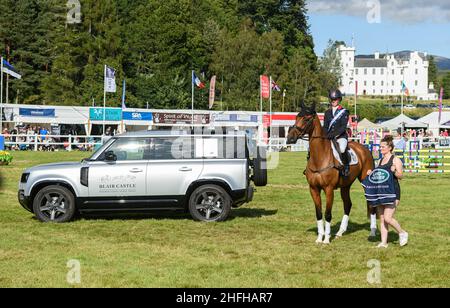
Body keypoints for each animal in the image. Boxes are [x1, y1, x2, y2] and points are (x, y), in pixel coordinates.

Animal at [286, 102, 378, 244]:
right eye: (296, 117)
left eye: (306, 119)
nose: (290, 138)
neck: (320, 157)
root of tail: (364, 148)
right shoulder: (313, 189)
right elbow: (319, 213)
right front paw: (319, 238)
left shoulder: (328, 189)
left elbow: (328, 214)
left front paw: (326, 239)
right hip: (345, 186)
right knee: (348, 204)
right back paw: (340, 232)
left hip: (365, 181)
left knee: (371, 204)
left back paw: (372, 232)